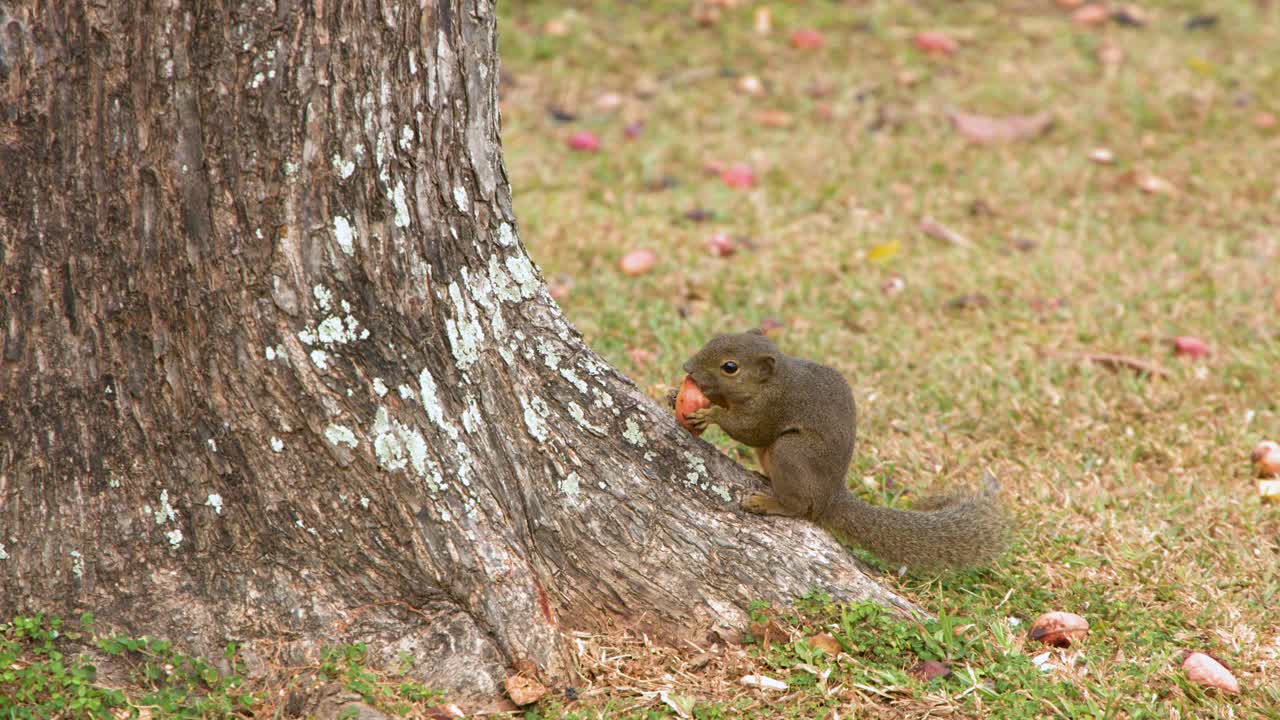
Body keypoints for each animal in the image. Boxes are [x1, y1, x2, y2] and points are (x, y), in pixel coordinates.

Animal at [678, 330, 1007, 569]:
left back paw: (769, 503)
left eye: (730, 367)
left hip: (790, 451)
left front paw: (711, 415)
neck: (775, 380)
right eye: (715, 337)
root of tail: (831, 497)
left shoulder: (772, 407)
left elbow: (750, 430)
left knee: (802, 507)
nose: (686, 368)